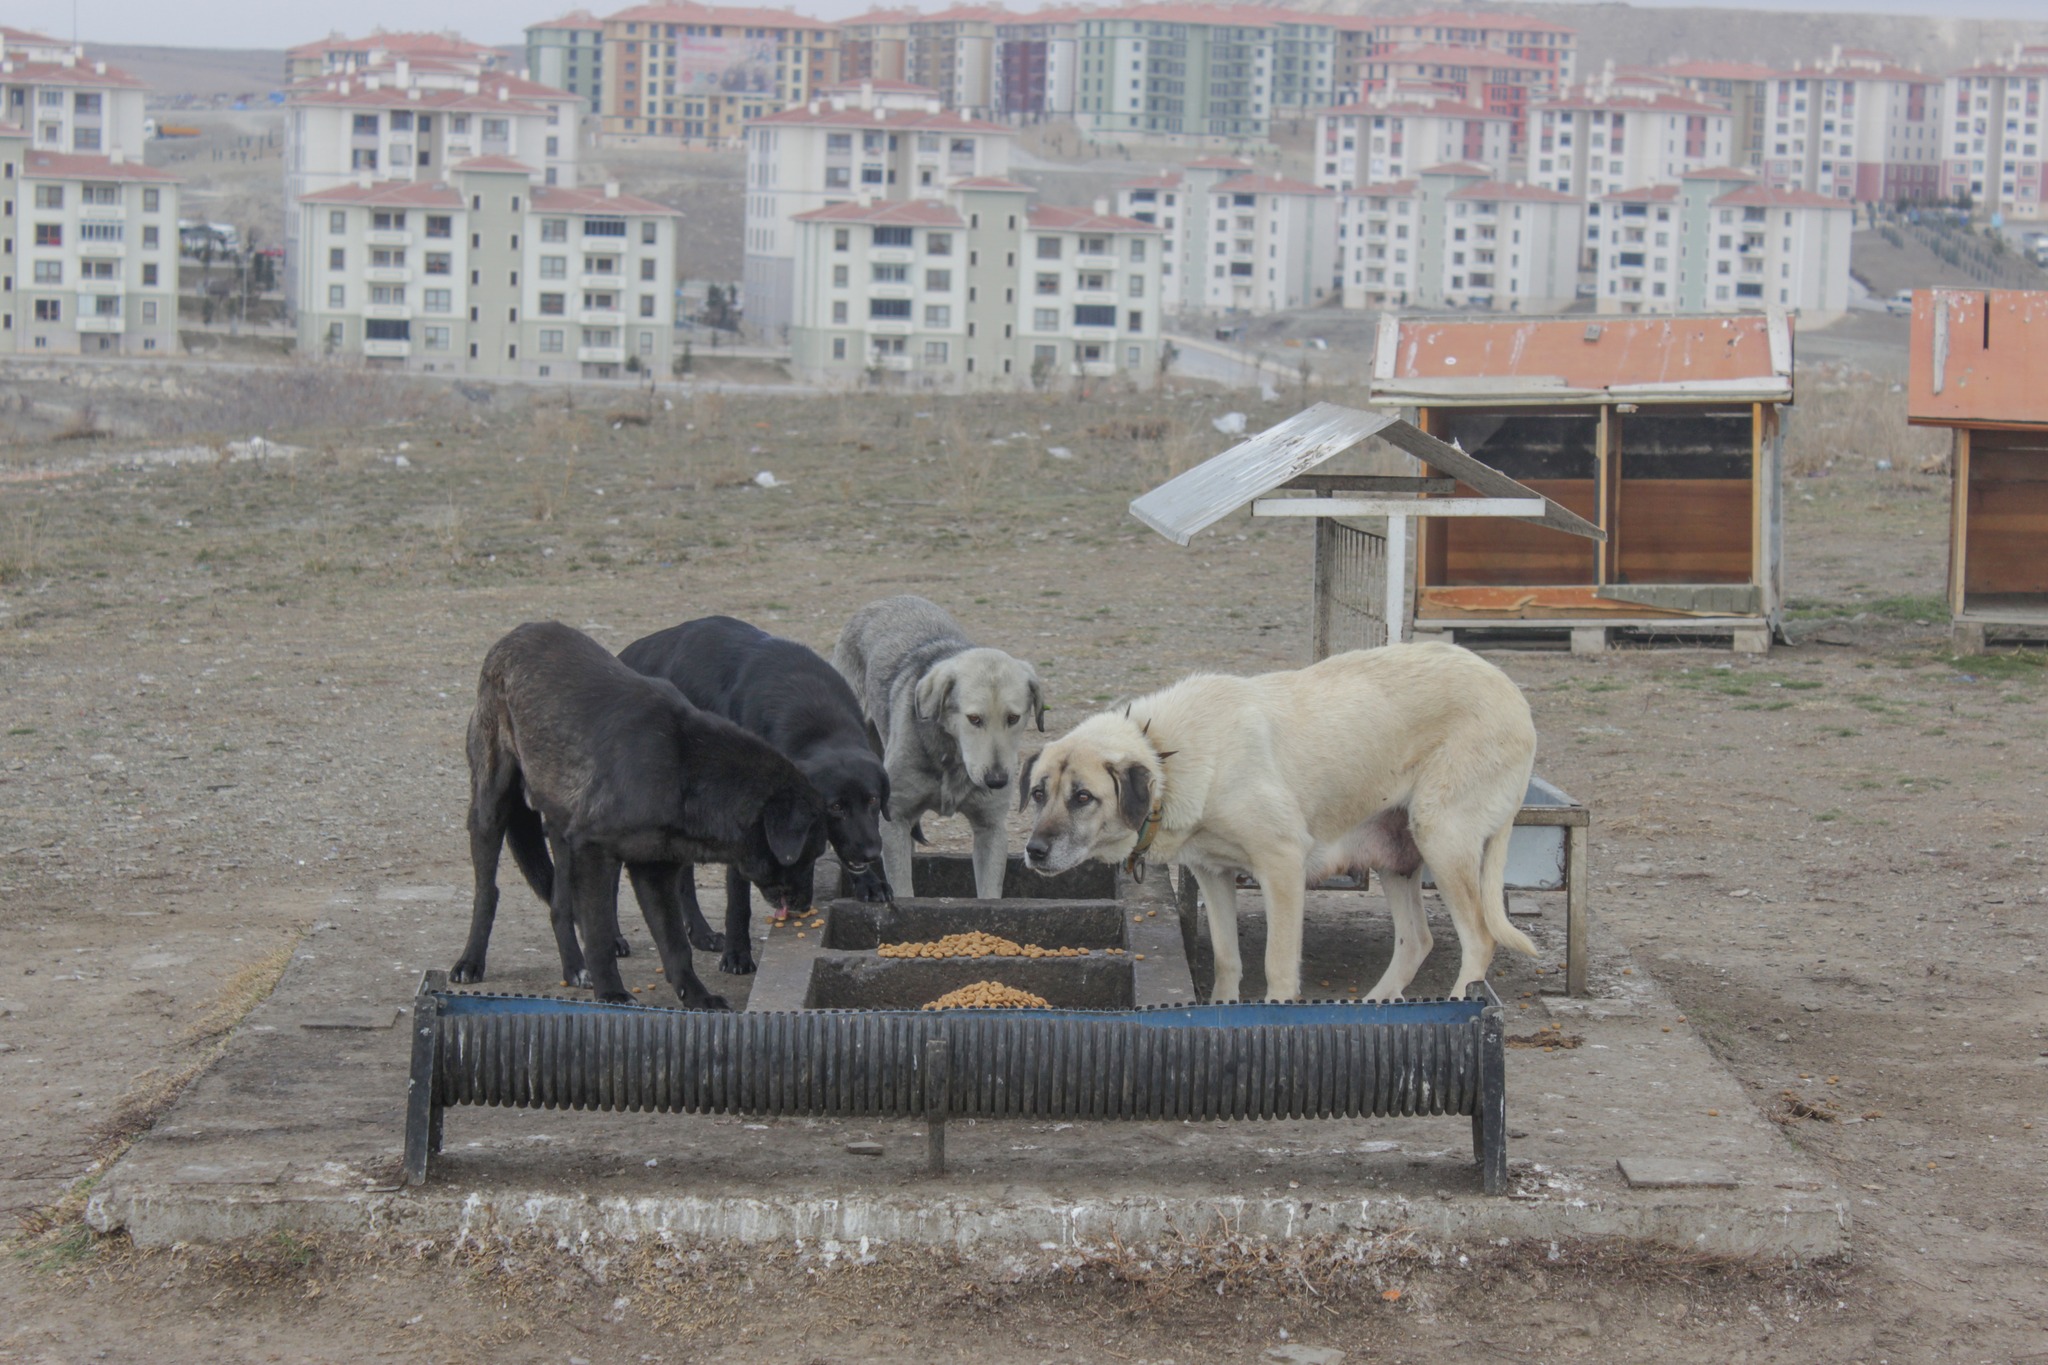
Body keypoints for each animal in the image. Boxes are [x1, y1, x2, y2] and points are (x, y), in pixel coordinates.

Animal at [456, 626, 823, 1010]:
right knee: (487, 892)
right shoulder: (595, 853)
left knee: (559, 906)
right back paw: (470, 962)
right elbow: (600, 934)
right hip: (490, 809)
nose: (805, 905)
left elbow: (676, 946)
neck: (684, 769)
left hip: (562, 834)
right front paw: (611, 993)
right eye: (809, 854)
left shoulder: (653, 870)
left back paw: (574, 969)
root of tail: (515, 634)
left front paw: (696, 995)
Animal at [614, 618, 888, 970]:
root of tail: (625, 654)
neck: (817, 719)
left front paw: (871, 883)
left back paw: (701, 933)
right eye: (835, 807)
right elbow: (738, 898)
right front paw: (737, 954)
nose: (870, 853)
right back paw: (615, 939)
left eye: (873, 800)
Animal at [831, 593, 1048, 896]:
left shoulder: (991, 828)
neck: (952, 758)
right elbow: (903, 890)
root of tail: (888, 598)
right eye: (974, 718)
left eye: (1013, 718)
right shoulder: (895, 819)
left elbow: (989, 893)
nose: (996, 781)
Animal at [1024, 642, 1540, 1002]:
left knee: (1479, 939)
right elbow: (1227, 959)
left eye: (1083, 797)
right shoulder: (1212, 873)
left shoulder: (1282, 865)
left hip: (1442, 837)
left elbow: (1277, 965)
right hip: (1397, 857)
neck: (1167, 754)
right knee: (1417, 940)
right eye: (1037, 793)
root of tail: (1511, 691)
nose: (1033, 851)